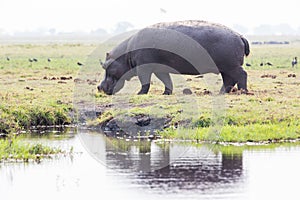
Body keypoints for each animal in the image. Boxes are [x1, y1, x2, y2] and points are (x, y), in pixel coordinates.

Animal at [97, 19, 250, 95]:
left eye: (105, 65)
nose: (99, 87)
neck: (125, 54)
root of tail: (239, 35)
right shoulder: (159, 69)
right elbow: (166, 80)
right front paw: (166, 93)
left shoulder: (143, 68)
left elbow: (145, 82)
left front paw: (139, 94)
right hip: (225, 67)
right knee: (228, 80)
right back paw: (221, 93)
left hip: (231, 66)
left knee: (241, 75)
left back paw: (243, 92)